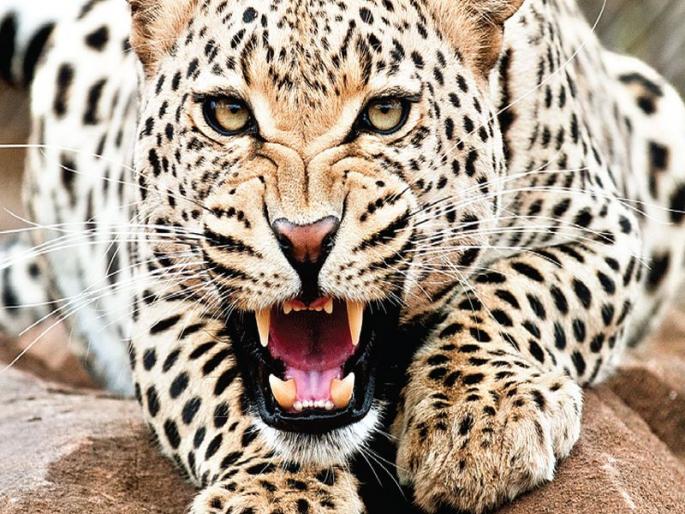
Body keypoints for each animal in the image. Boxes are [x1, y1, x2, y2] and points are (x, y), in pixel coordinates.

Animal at [1, 0, 685, 512]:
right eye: (227, 114)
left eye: (386, 114)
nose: (305, 238)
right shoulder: (161, 285)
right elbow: (213, 389)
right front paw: (280, 496)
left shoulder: (602, 229)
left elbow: (514, 290)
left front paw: (478, 423)